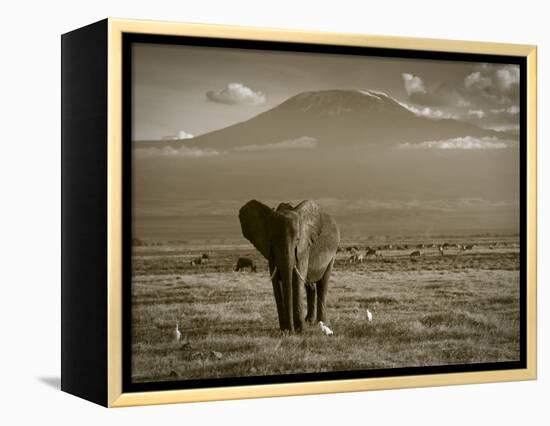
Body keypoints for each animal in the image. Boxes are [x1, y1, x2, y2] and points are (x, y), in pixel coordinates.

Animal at [240, 200, 340, 332]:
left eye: (297, 239)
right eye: (271, 241)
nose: (290, 329)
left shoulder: (304, 248)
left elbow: (297, 279)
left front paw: (299, 330)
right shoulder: (271, 253)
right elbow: (276, 282)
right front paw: (285, 330)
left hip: (333, 252)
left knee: (323, 283)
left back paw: (321, 323)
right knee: (310, 286)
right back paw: (309, 321)